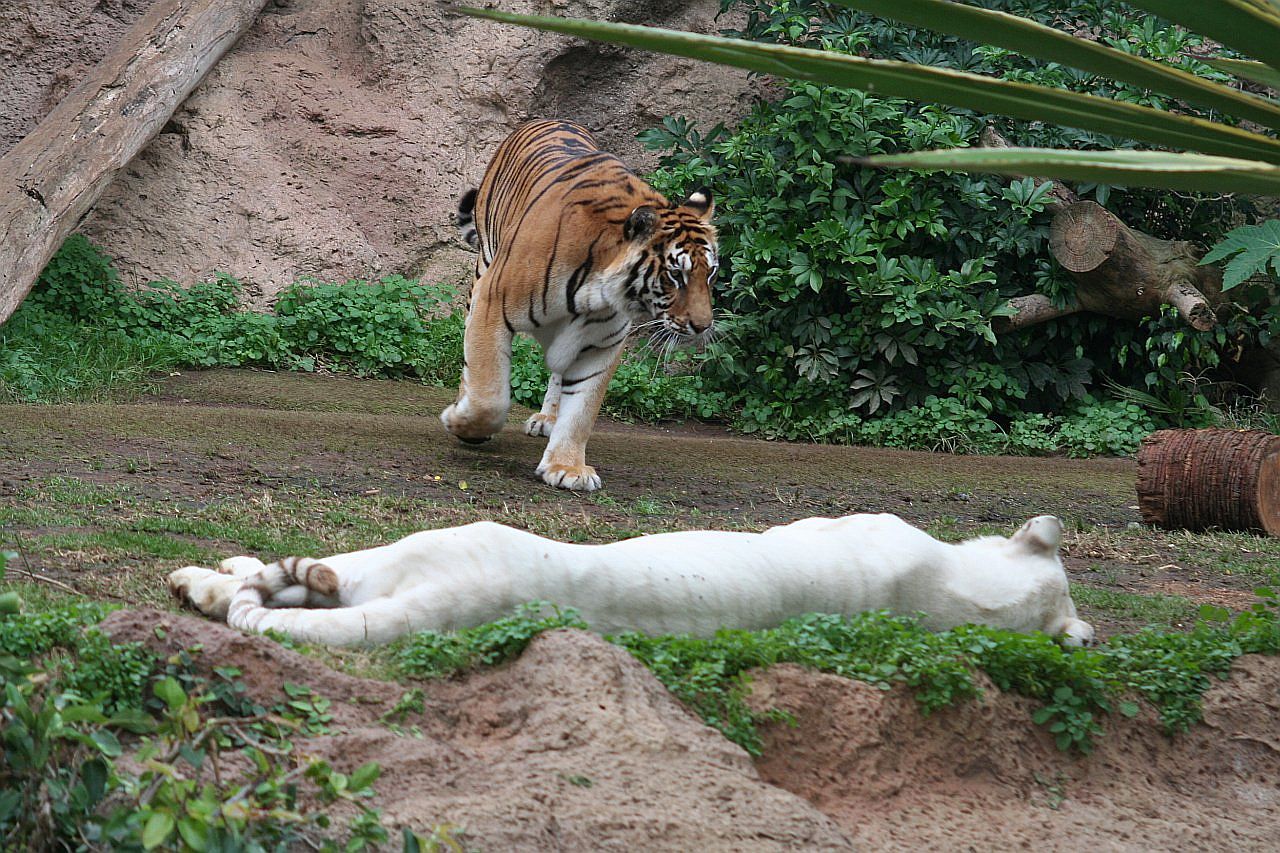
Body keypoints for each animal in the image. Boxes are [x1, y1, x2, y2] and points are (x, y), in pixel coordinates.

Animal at [445, 120, 716, 491]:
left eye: (711, 272)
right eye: (676, 275)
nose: (703, 326)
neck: (595, 292)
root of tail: (549, 119)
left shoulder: (601, 343)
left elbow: (582, 409)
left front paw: (566, 467)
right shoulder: (492, 303)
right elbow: (489, 393)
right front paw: (463, 425)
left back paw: (548, 417)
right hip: (484, 265)